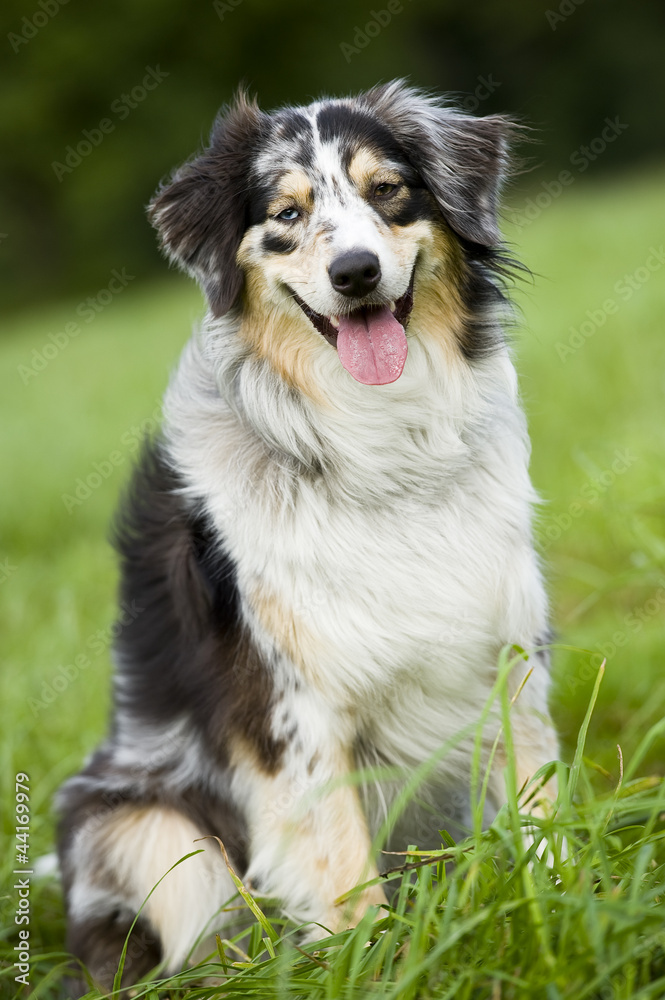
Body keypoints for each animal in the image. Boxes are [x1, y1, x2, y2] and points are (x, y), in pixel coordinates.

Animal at [57, 82, 556, 988]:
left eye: (387, 190)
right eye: (286, 214)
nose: (353, 272)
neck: (380, 445)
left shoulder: (509, 658)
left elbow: (546, 822)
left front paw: (573, 904)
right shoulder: (291, 714)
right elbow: (341, 868)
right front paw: (374, 967)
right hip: (146, 830)